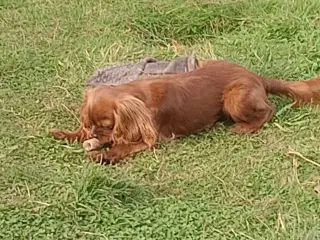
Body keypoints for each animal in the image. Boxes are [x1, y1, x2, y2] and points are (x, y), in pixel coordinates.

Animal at [49, 61, 320, 164]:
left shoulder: (153, 139)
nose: (95, 135)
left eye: (107, 125)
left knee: (270, 109)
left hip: (234, 98)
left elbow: (124, 147)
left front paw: (103, 155)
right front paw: (67, 134)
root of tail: (256, 76)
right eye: (90, 123)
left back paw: (246, 127)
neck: (135, 93)